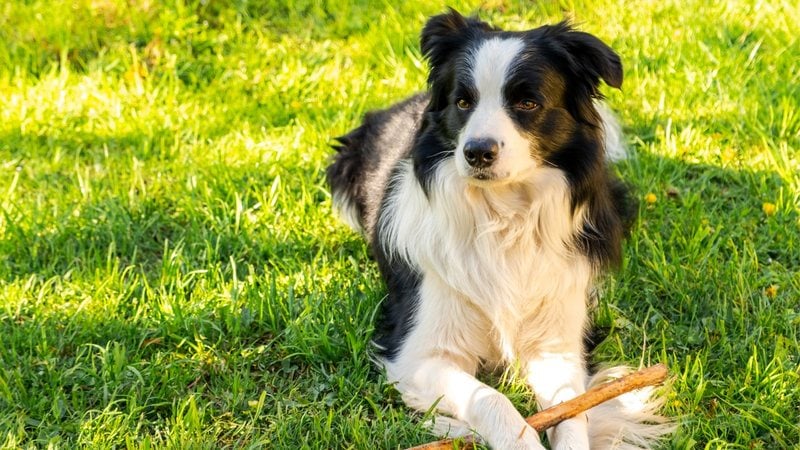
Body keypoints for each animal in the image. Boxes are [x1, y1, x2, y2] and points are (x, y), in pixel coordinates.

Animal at [324, 8, 668, 448]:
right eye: (462, 101)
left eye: (527, 102)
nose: (477, 152)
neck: (502, 218)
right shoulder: (420, 352)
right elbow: (491, 399)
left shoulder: (557, 343)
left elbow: (572, 411)